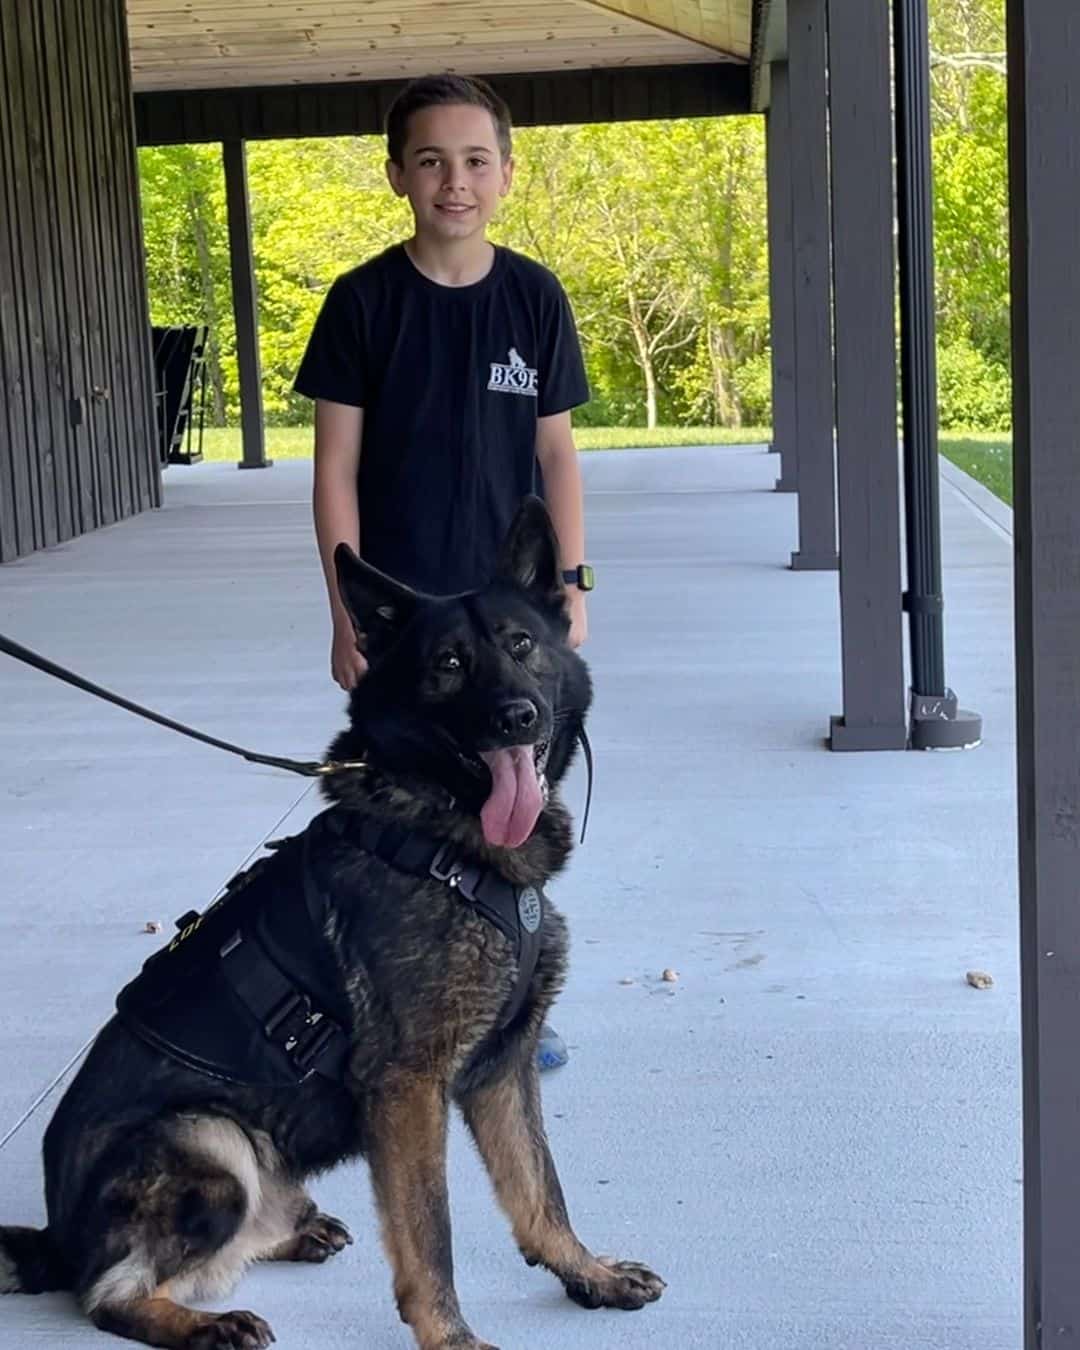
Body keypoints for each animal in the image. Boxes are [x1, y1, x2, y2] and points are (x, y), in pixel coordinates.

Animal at [0, 502, 658, 1350]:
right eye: (448, 664)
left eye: (521, 645)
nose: (518, 717)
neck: (441, 839)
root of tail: (57, 1235)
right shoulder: (409, 1087)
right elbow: (430, 1231)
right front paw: (450, 1336)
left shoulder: (501, 1070)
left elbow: (542, 1189)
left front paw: (589, 1274)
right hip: (210, 1137)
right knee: (106, 1292)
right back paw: (203, 1322)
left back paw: (291, 1231)